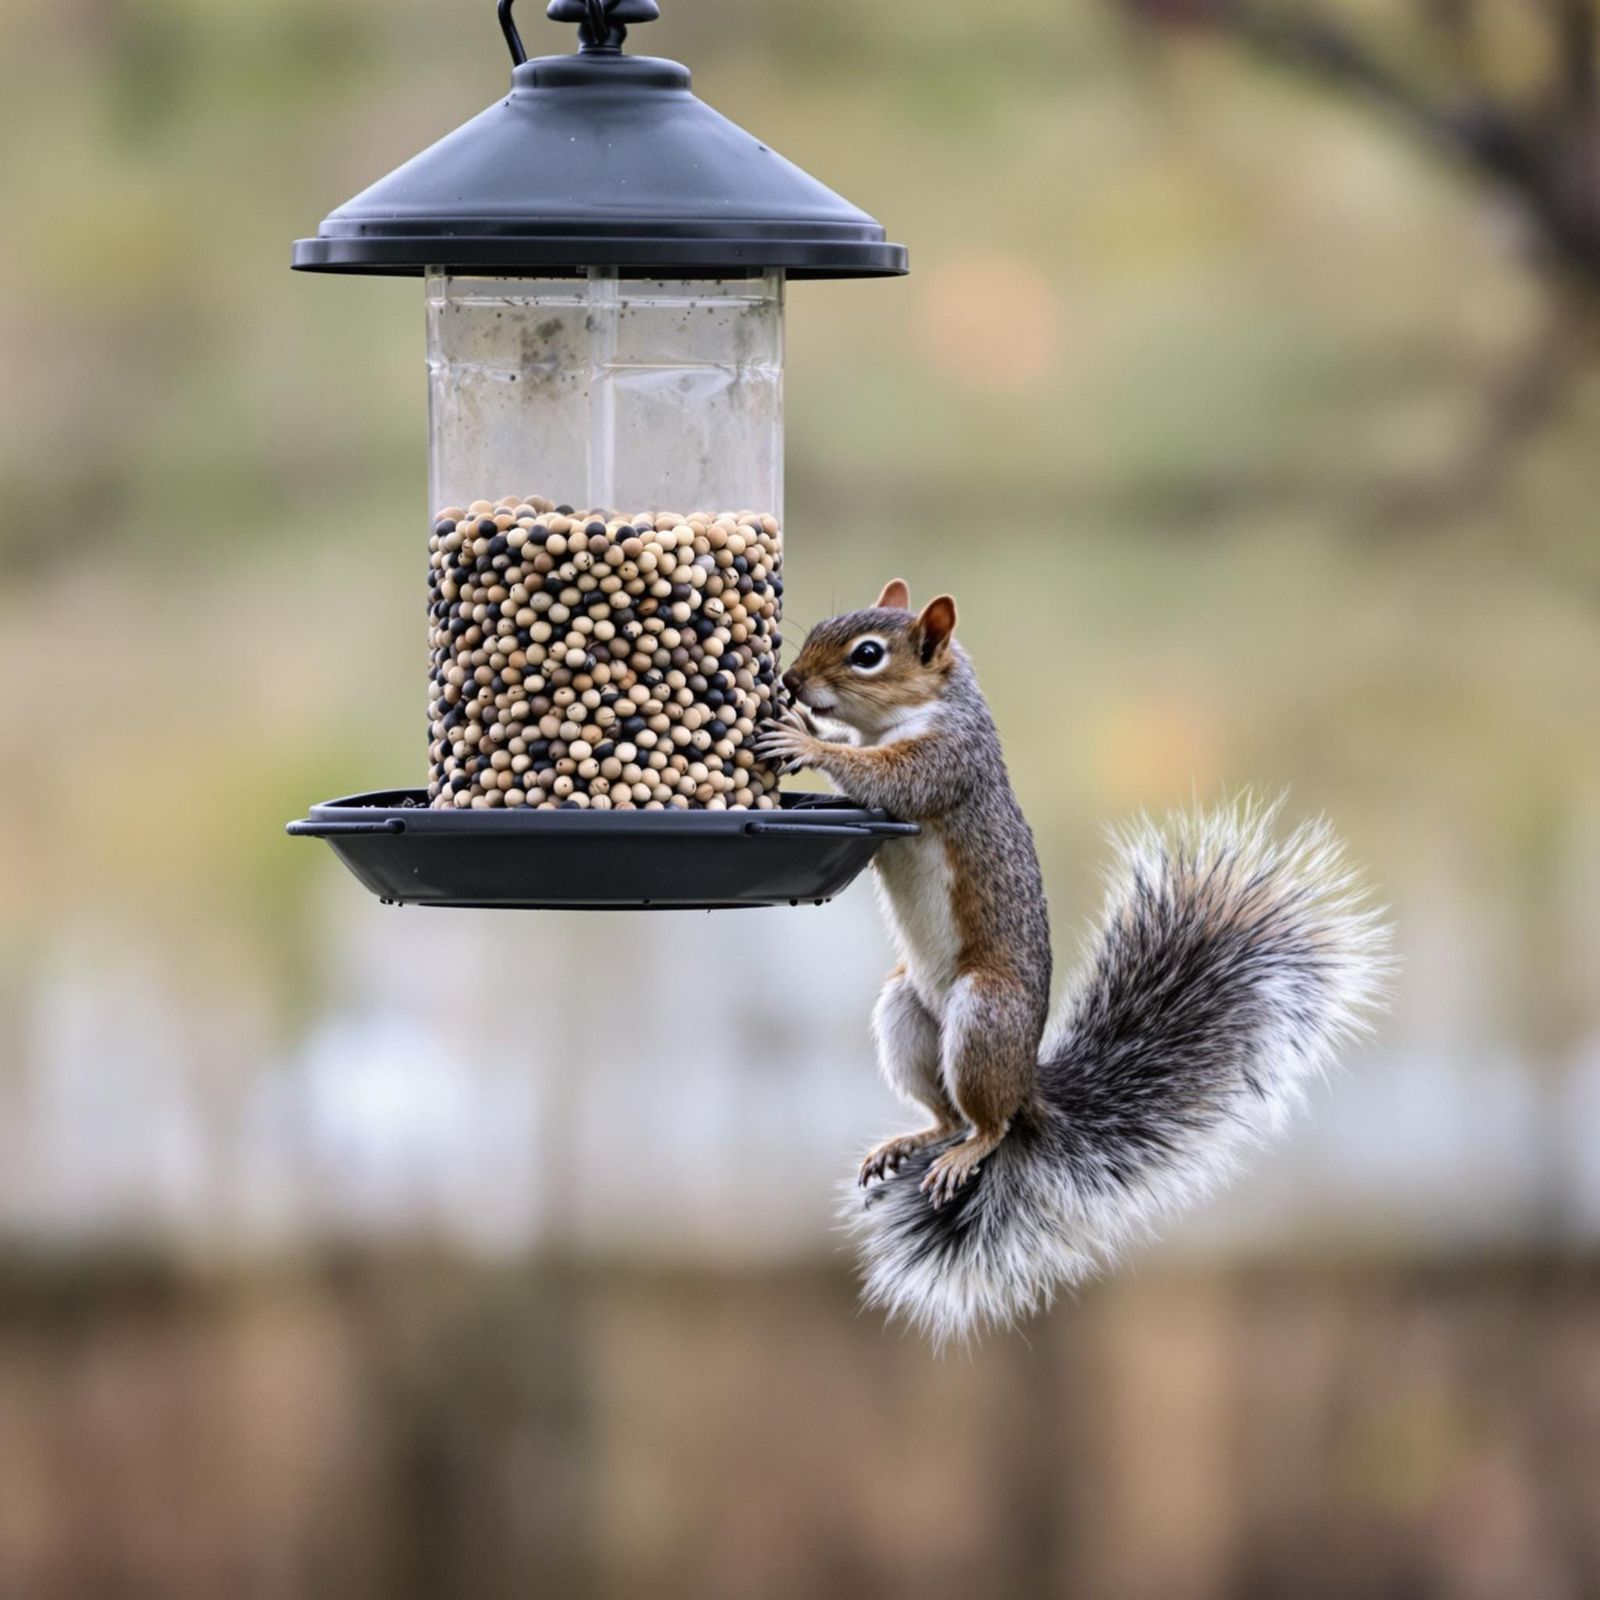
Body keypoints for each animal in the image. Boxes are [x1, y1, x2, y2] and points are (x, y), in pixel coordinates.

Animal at [754, 579, 1391, 1343]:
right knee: (947, 1114)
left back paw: (968, 1149)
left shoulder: (945, 762)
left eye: (868, 655)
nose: (792, 682)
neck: (907, 715)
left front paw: (802, 737)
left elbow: (888, 779)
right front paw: (804, 734)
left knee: (987, 1124)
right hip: (904, 1013)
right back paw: (911, 1140)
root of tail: (1027, 1084)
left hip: (984, 1014)